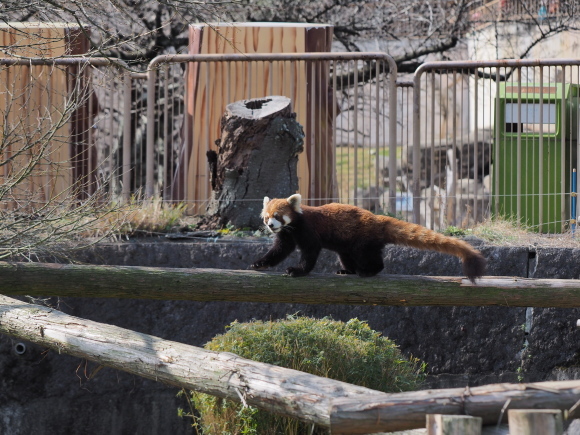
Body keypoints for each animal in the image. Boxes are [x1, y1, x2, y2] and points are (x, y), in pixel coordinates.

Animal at [251, 193, 488, 282]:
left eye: (278, 216)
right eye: (267, 217)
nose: (270, 225)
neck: (294, 225)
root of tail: (377, 219)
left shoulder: (307, 230)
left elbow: (310, 252)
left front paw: (297, 270)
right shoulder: (286, 235)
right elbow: (279, 251)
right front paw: (259, 263)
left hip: (362, 240)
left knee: (369, 257)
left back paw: (368, 270)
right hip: (348, 245)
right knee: (346, 255)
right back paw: (347, 270)